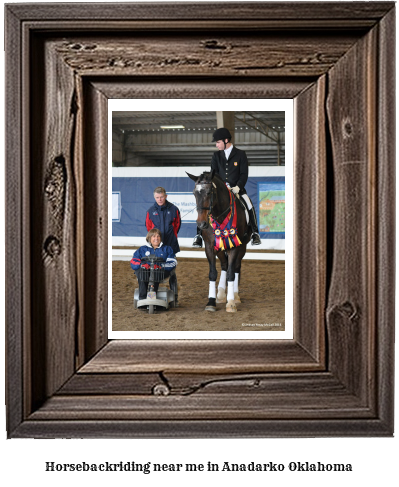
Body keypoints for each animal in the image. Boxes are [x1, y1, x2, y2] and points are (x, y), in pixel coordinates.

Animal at [187, 171, 250, 312]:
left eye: (209, 192)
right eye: (194, 193)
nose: (202, 224)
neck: (220, 215)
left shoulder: (235, 246)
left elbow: (232, 273)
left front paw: (231, 303)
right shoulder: (210, 247)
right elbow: (212, 273)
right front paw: (211, 302)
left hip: (242, 247)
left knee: (236, 267)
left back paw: (235, 296)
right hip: (220, 248)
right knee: (224, 265)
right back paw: (221, 294)